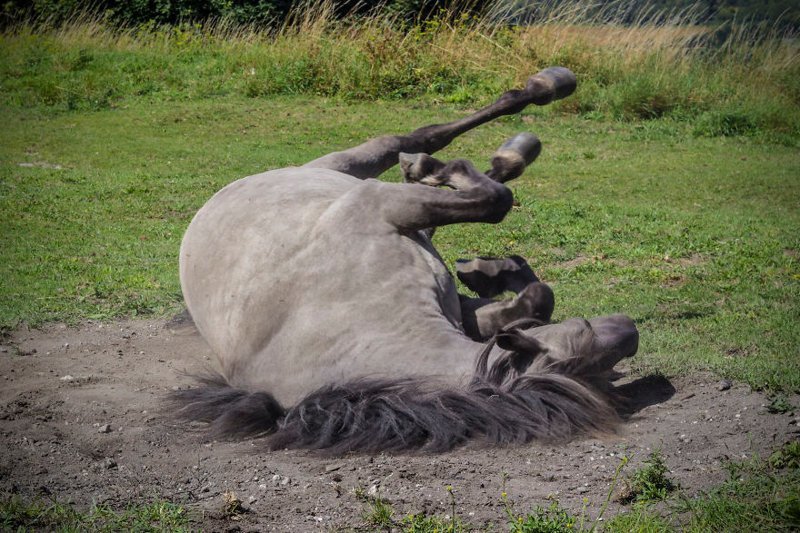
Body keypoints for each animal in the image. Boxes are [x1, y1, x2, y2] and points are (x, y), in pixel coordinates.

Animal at [172, 67, 640, 454]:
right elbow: (494, 202)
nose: (631, 332)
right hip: (345, 169)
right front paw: (446, 178)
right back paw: (514, 126)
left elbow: (535, 296)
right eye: (584, 334)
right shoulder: (383, 206)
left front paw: (491, 273)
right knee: (413, 139)